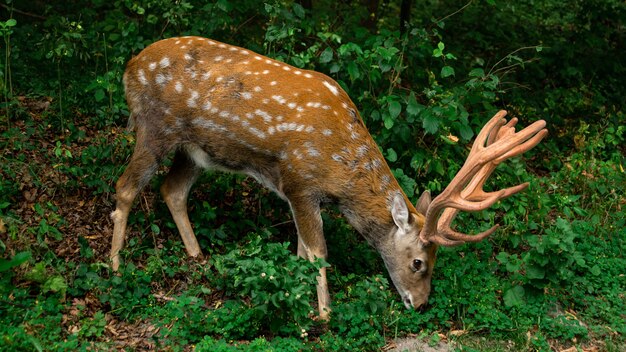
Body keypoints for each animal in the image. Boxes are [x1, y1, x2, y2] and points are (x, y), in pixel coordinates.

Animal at [112, 36, 544, 322]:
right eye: (419, 262)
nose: (420, 304)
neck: (342, 170)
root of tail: (129, 66)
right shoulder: (300, 182)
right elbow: (318, 250)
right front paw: (323, 314)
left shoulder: (297, 193)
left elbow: (301, 249)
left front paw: (295, 296)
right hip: (154, 128)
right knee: (125, 188)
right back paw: (115, 268)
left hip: (194, 151)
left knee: (172, 190)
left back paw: (197, 255)